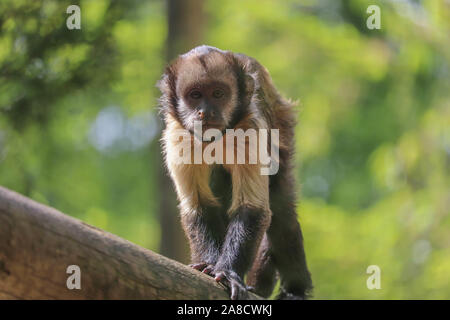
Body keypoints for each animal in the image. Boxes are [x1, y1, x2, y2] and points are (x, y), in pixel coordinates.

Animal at [158, 45, 312, 300]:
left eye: (218, 94)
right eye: (195, 95)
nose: (205, 112)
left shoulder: (250, 125)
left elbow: (252, 209)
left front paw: (228, 272)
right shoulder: (178, 134)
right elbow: (198, 207)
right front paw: (208, 265)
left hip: (283, 122)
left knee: (282, 210)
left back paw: (295, 290)